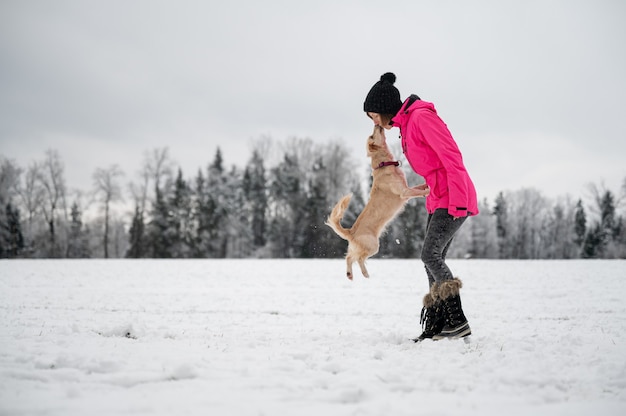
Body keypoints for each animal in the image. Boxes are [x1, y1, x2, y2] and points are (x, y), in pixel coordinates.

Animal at [324, 124, 426, 280]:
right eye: (372, 136)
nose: (377, 124)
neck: (384, 163)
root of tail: (351, 232)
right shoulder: (404, 192)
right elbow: (419, 192)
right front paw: (429, 191)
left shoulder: (407, 190)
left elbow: (418, 188)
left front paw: (427, 185)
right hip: (373, 246)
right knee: (358, 258)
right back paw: (364, 273)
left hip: (362, 248)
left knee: (349, 257)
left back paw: (351, 274)